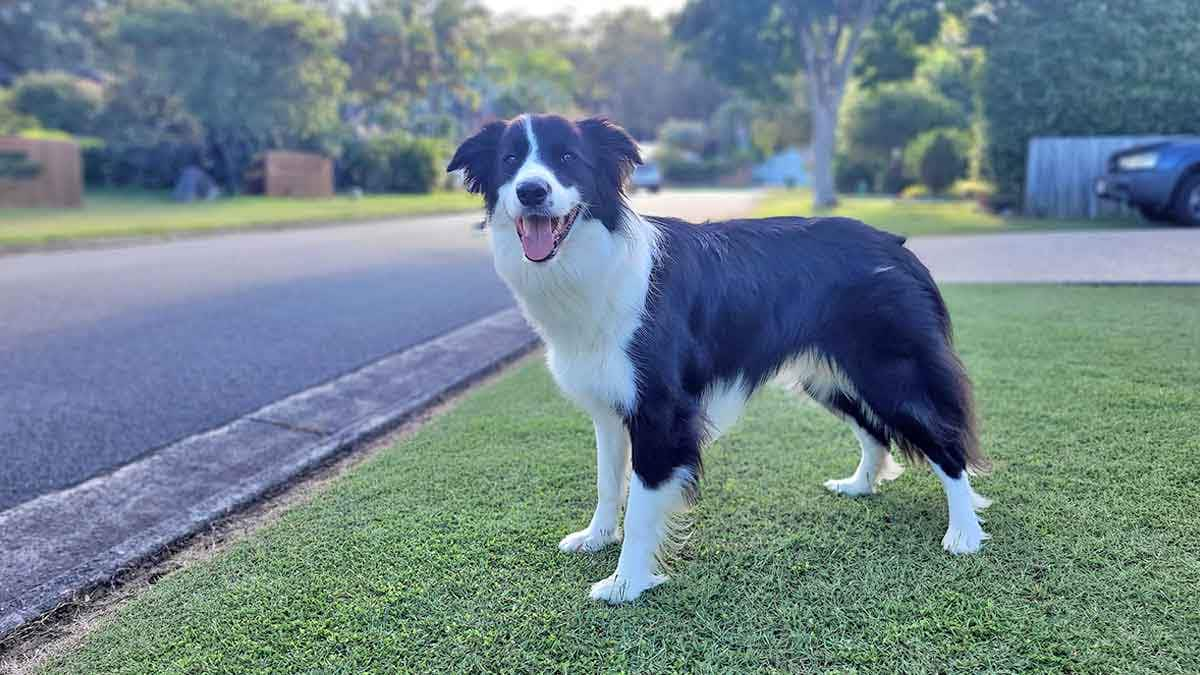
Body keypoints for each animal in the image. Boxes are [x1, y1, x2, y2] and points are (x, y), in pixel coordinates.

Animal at [451, 112, 993, 600]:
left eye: (567, 159)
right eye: (509, 161)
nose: (531, 192)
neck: (592, 259)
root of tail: (896, 246)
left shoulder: (661, 412)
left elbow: (642, 502)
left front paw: (625, 583)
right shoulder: (608, 406)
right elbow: (608, 483)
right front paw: (598, 537)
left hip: (891, 374)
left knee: (946, 443)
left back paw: (964, 533)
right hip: (830, 377)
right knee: (874, 431)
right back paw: (860, 485)